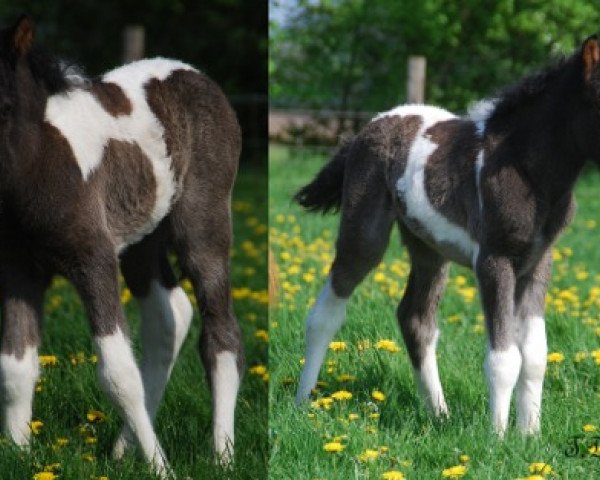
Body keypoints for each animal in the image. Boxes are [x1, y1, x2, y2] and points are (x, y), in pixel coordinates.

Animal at [0, 15, 241, 476]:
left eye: (3, 104)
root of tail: (195, 74)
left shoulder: (94, 260)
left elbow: (117, 373)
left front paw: (163, 470)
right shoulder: (19, 271)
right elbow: (16, 366)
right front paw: (19, 454)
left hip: (203, 227)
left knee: (222, 335)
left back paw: (221, 454)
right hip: (141, 243)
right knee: (170, 317)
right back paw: (121, 449)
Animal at [294, 36, 600, 436]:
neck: (529, 171)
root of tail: (366, 128)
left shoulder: (538, 262)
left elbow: (534, 356)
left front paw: (529, 436)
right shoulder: (493, 259)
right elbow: (504, 358)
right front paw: (497, 438)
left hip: (428, 248)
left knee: (416, 319)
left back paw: (440, 414)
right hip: (364, 237)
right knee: (326, 312)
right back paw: (302, 402)